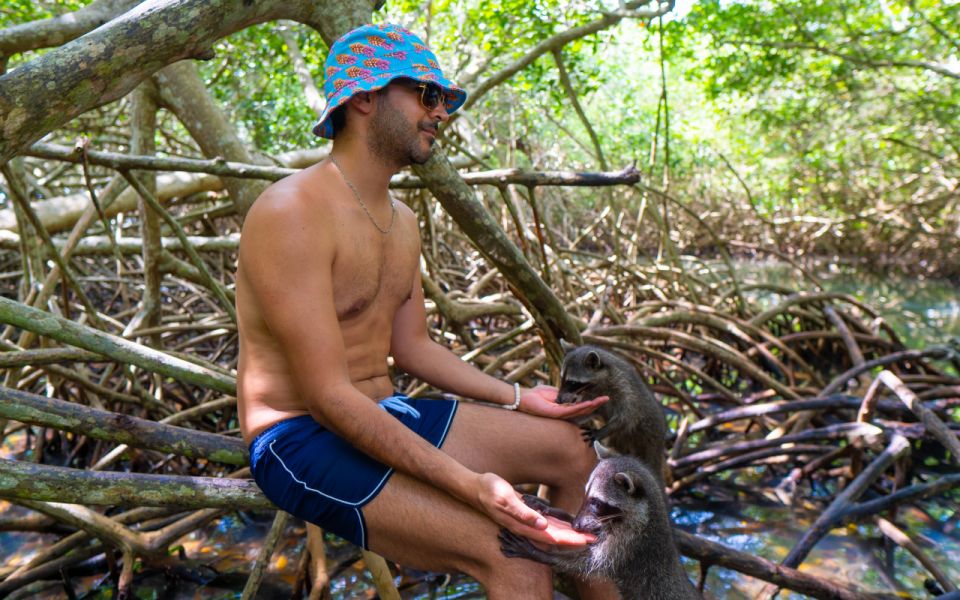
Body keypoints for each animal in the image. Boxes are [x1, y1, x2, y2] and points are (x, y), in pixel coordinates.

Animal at [502, 442, 696, 596]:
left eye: (596, 502)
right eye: (586, 495)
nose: (575, 525)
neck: (646, 513)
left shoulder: (629, 542)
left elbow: (589, 564)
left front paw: (539, 553)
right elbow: (591, 528)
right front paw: (554, 511)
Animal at [556, 342, 668, 482]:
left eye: (572, 382)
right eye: (562, 379)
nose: (558, 400)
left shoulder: (624, 388)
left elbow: (627, 418)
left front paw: (601, 431)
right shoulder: (594, 397)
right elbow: (587, 412)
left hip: (648, 439)